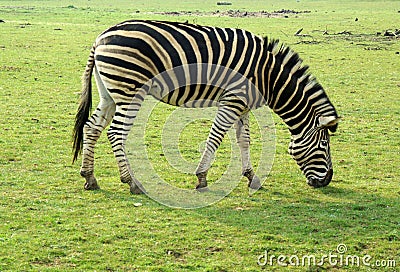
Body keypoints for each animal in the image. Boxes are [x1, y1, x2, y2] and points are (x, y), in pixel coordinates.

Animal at [72, 19, 340, 193]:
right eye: (324, 145)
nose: (327, 180)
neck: (268, 76)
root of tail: (100, 38)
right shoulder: (233, 100)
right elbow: (216, 137)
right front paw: (201, 178)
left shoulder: (243, 104)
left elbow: (244, 140)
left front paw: (251, 177)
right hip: (129, 90)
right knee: (116, 133)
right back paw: (132, 182)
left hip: (109, 93)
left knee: (92, 127)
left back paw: (89, 177)